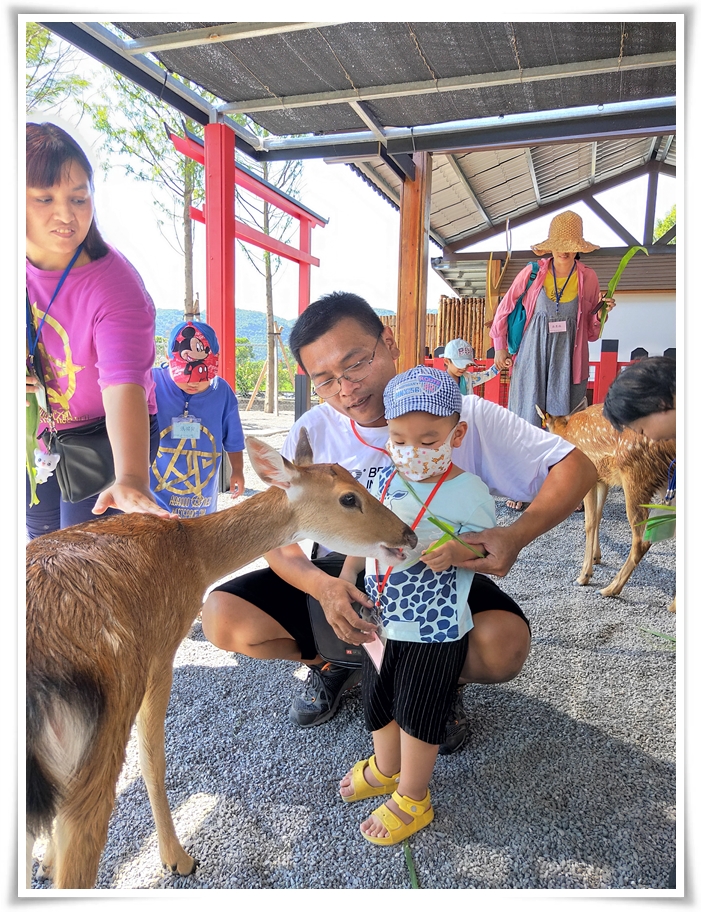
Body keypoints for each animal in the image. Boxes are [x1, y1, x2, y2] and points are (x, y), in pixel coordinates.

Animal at [27, 432, 416, 888]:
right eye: (349, 498)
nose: (409, 536)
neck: (193, 556)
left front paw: (45, 862)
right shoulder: (160, 650)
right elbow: (153, 760)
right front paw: (177, 860)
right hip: (102, 733)